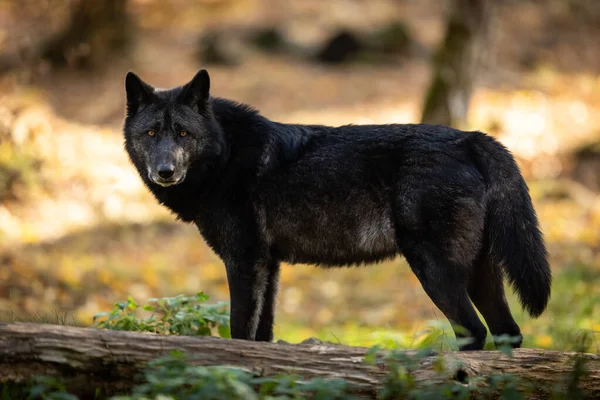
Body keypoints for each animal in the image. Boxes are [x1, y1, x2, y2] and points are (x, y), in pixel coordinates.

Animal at [123, 69, 552, 350]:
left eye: (183, 133)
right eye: (151, 133)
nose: (165, 171)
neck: (224, 154)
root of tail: (471, 138)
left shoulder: (244, 261)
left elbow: (240, 330)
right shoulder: (269, 265)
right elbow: (263, 334)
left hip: (435, 271)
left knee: (474, 332)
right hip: (479, 275)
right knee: (508, 332)